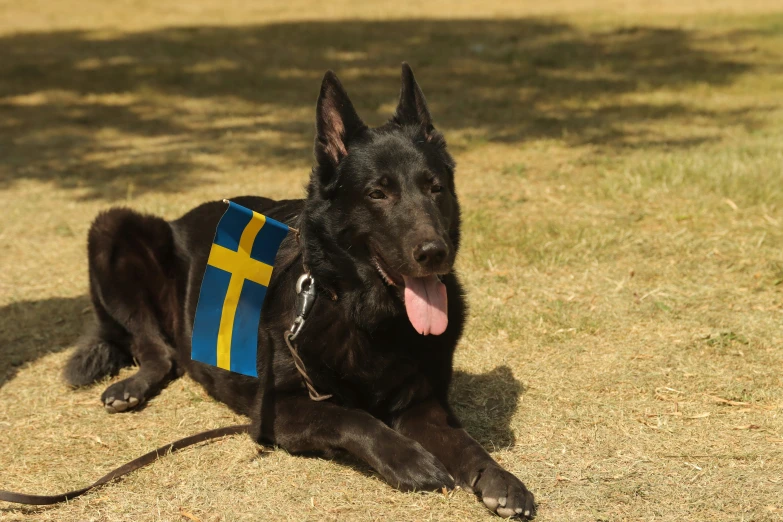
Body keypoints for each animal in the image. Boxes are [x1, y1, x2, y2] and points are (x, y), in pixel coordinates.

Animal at [64, 63, 536, 512]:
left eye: (435, 188)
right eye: (378, 194)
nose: (435, 253)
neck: (362, 315)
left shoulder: (422, 404)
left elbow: (463, 440)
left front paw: (497, 478)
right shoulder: (280, 410)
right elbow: (354, 419)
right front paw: (408, 458)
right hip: (111, 228)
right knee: (154, 349)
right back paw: (132, 386)